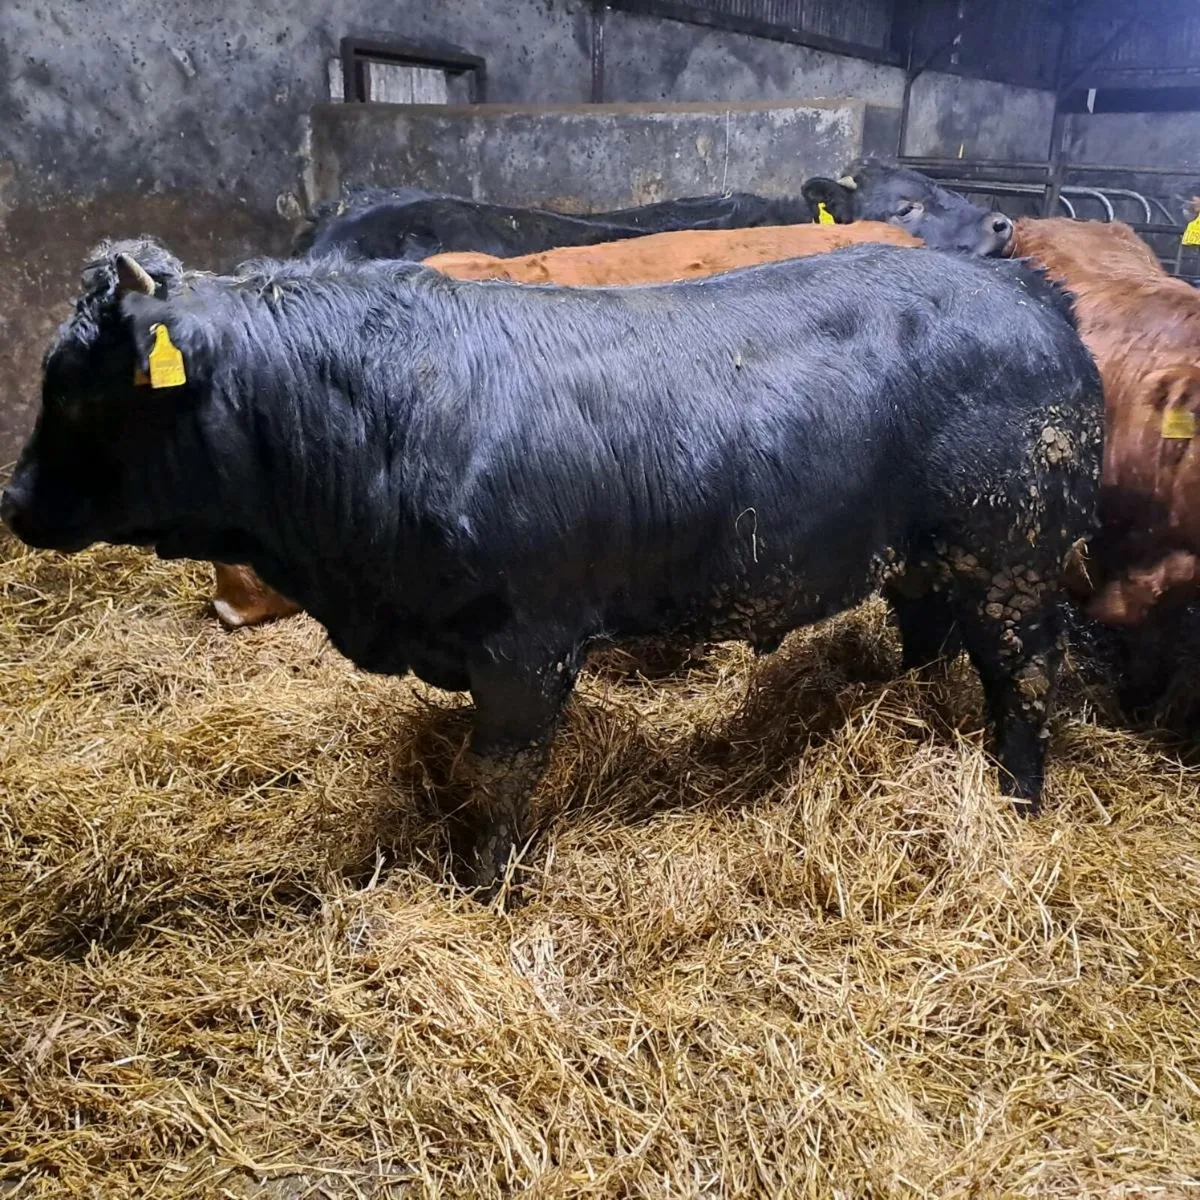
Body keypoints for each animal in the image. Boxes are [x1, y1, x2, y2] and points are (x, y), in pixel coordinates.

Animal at [2, 237, 1103, 899]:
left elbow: (504, 772)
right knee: (929, 634)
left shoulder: (524, 646)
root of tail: (1031, 292)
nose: (12, 503)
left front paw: (484, 881)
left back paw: (1016, 803)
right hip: (925, 557)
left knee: (1025, 677)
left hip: (1015, 556)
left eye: (84, 393)